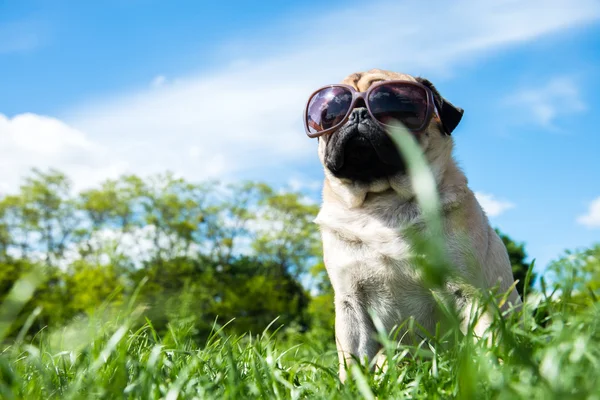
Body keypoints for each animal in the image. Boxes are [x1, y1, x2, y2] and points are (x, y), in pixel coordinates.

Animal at [304, 69, 520, 382]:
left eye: (396, 106)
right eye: (330, 114)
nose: (358, 112)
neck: (384, 202)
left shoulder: (468, 291)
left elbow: (486, 339)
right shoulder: (350, 304)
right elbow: (352, 360)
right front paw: (352, 387)